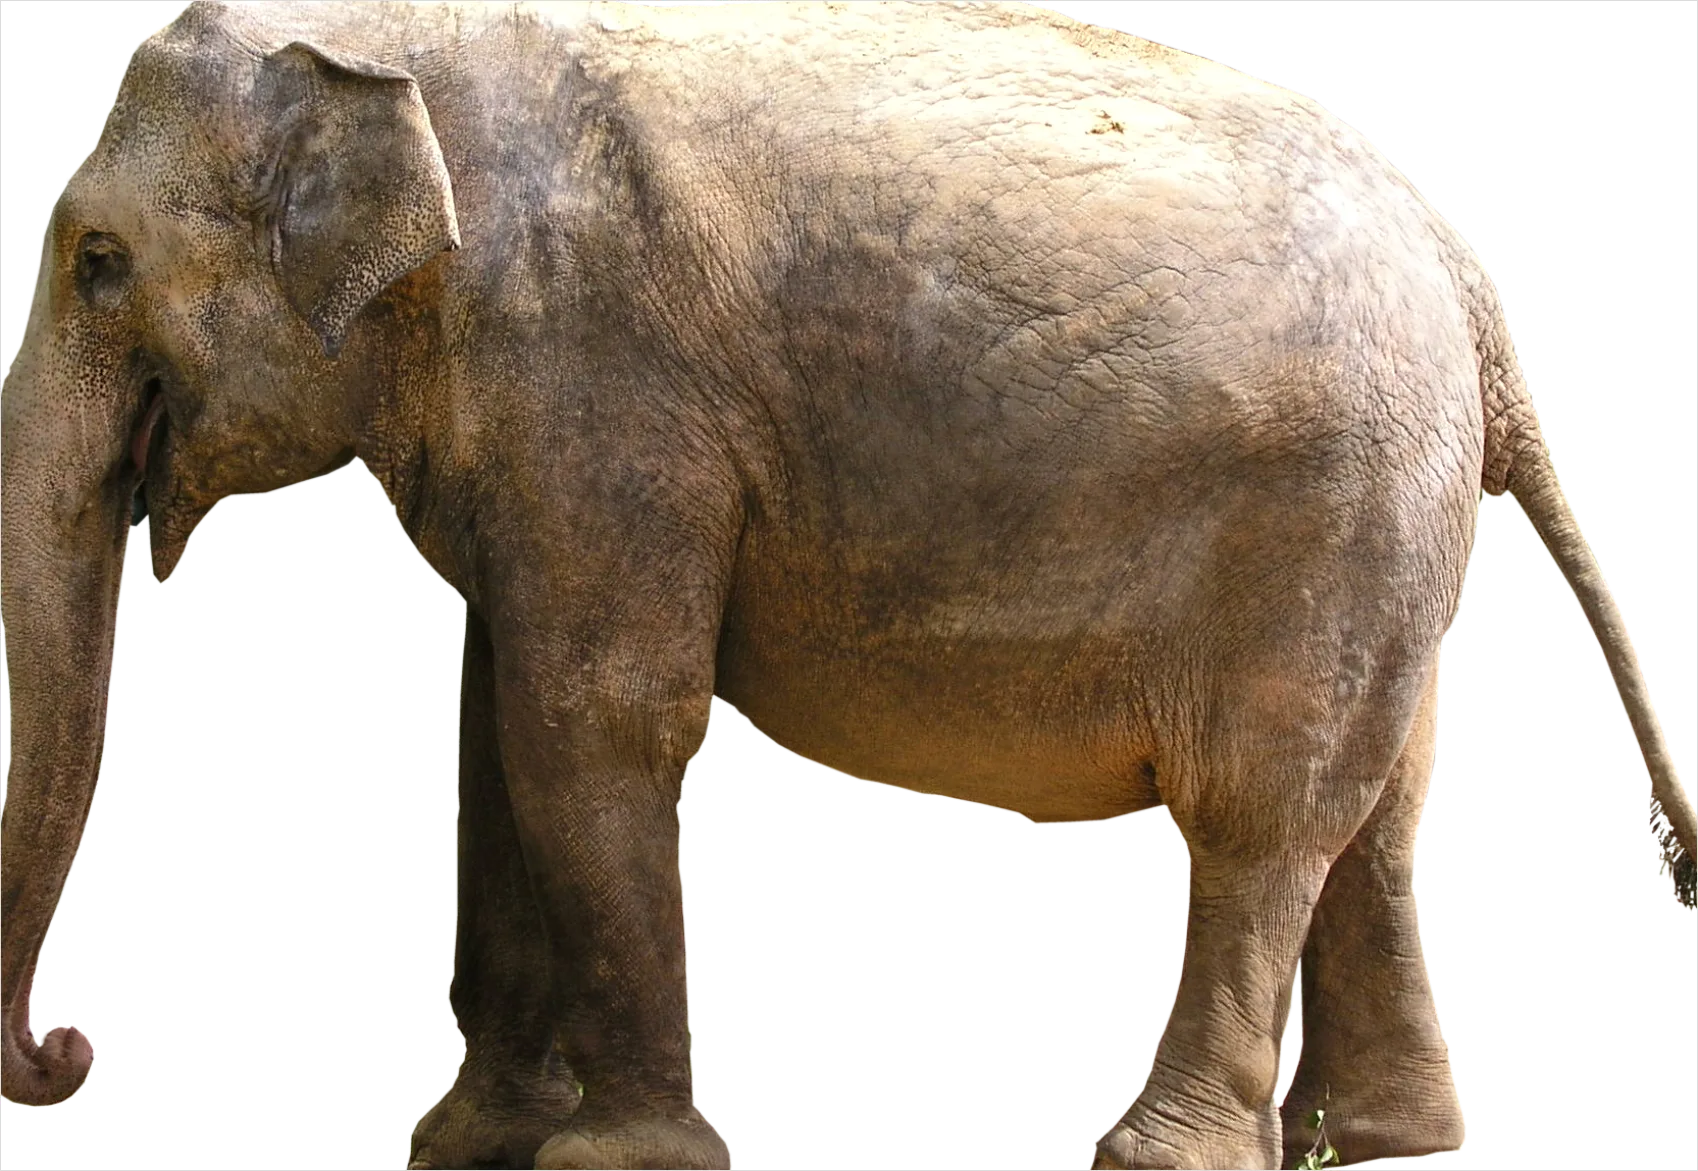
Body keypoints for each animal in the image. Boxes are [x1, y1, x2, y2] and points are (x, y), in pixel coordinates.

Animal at [2, 2, 1693, 1168]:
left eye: (98, 261)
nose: (67, 1047)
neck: (396, 37)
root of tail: (1469, 281)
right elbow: (497, 717)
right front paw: (466, 1143)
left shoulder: (597, 382)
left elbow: (594, 715)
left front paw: (619, 1158)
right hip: (1390, 526)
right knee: (1377, 816)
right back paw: (1386, 1143)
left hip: (1326, 509)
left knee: (1260, 818)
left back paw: (1162, 1152)